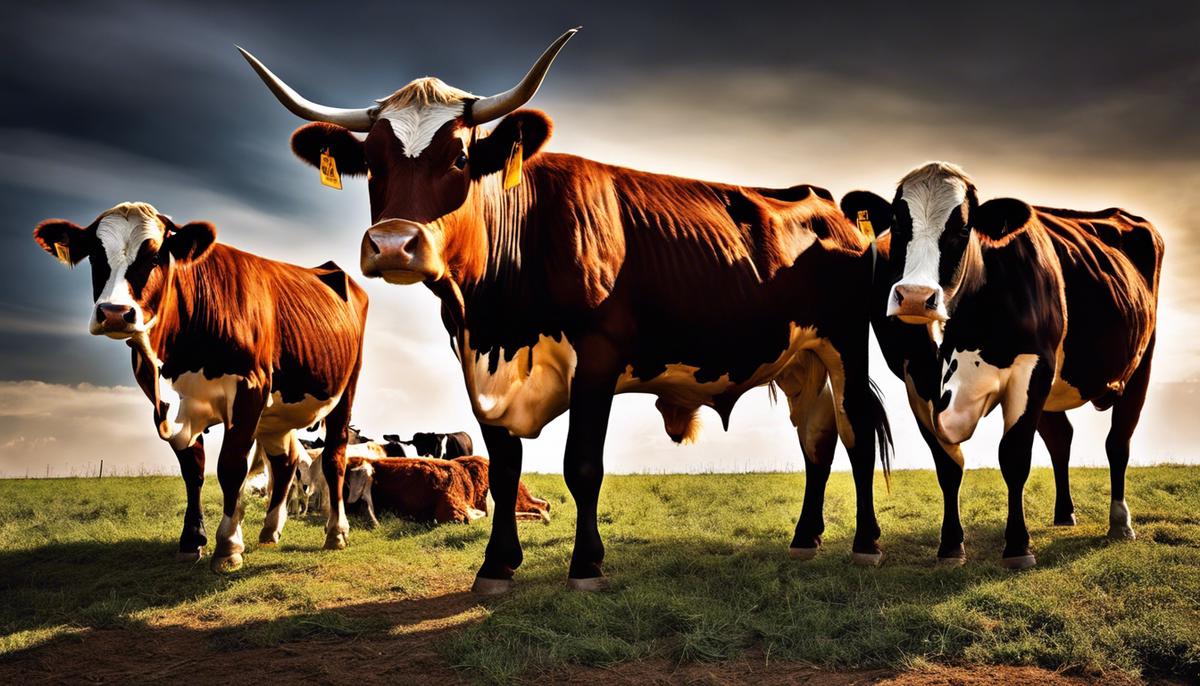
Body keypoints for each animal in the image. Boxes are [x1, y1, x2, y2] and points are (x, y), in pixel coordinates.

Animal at [32, 202, 369, 571]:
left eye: (156, 256)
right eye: (95, 255)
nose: (115, 312)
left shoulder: (251, 388)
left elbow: (231, 467)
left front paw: (228, 545)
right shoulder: (168, 403)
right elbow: (192, 468)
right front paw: (192, 540)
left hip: (346, 388)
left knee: (334, 457)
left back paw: (336, 532)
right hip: (276, 412)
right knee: (284, 461)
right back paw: (270, 530)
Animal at [841, 162, 1162, 568]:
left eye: (963, 229)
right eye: (898, 225)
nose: (915, 296)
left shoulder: (1032, 366)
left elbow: (1014, 457)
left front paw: (1018, 547)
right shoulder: (916, 378)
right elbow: (947, 465)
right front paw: (950, 546)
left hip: (1140, 362)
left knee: (1117, 442)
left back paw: (1120, 522)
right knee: (1062, 438)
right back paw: (1064, 514)